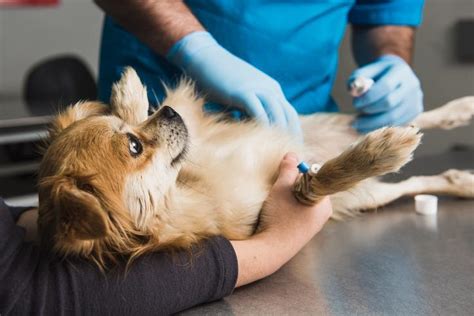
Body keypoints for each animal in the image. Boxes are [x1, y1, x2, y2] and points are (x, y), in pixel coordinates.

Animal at [37, 67, 474, 266]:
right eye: (134, 146)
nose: (171, 113)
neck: (186, 184)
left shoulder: (198, 130)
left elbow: (142, 111)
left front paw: (128, 93)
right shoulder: (297, 192)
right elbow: (323, 177)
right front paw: (378, 154)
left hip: (317, 123)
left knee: (404, 116)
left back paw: (459, 109)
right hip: (364, 195)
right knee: (410, 179)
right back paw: (451, 174)